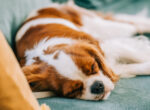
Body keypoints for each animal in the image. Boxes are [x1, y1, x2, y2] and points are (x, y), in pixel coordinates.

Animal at [14, 1, 150, 100]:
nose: (97, 86)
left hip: (105, 27)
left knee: (134, 25)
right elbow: (131, 67)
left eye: (94, 67)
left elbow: (137, 55)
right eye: (74, 90)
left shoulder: (108, 47)